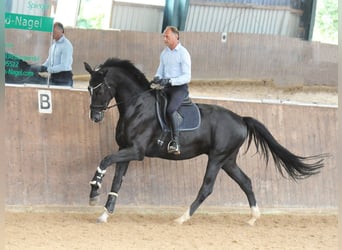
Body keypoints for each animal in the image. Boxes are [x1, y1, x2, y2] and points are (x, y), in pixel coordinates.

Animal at [84, 58, 324, 225]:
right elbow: (117, 180)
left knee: (207, 188)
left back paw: (182, 218)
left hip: (217, 158)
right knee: (246, 182)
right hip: (228, 160)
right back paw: (253, 218)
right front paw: (105, 213)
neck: (137, 106)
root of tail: (241, 119)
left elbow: (105, 160)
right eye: (88, 88)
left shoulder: (136, 151)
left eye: (101, 88)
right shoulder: (125, 149)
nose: (95, 117)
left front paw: (94, 191)